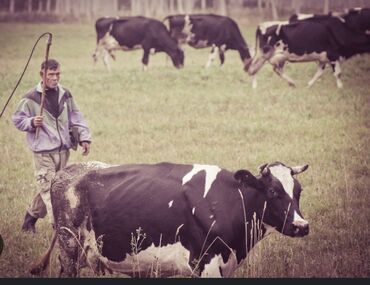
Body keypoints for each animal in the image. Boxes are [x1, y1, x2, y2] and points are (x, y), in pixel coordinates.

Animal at [31, 161, 310, 276]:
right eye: (273, 192)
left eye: (298, 191)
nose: (301, 226)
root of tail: (66, 172)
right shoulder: (206, 264)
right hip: (69, 246)